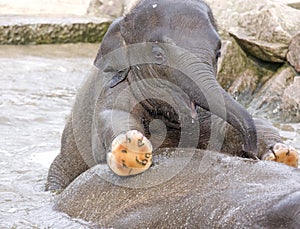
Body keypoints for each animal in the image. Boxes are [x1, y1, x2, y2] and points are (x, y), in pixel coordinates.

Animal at [44, 0, 298, 191]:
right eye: (158, 54)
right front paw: (132, 149)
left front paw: (282, 154)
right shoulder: (114, 89)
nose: (251, 151)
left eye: (218, 53)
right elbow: (112, 118)